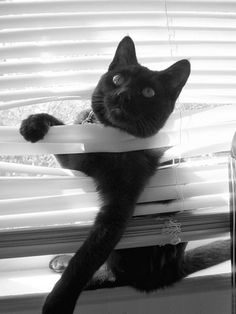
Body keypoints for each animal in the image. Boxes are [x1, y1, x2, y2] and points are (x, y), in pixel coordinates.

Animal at [19, 35, 194, 312]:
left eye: (148, 92)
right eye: (117, 79)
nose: (123, 95)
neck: (108, 138)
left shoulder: (117, 210)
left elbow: (86, 259)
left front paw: (58, 301)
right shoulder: (75, 158)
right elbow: (64, 130)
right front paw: (34, 123)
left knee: (115, 276)